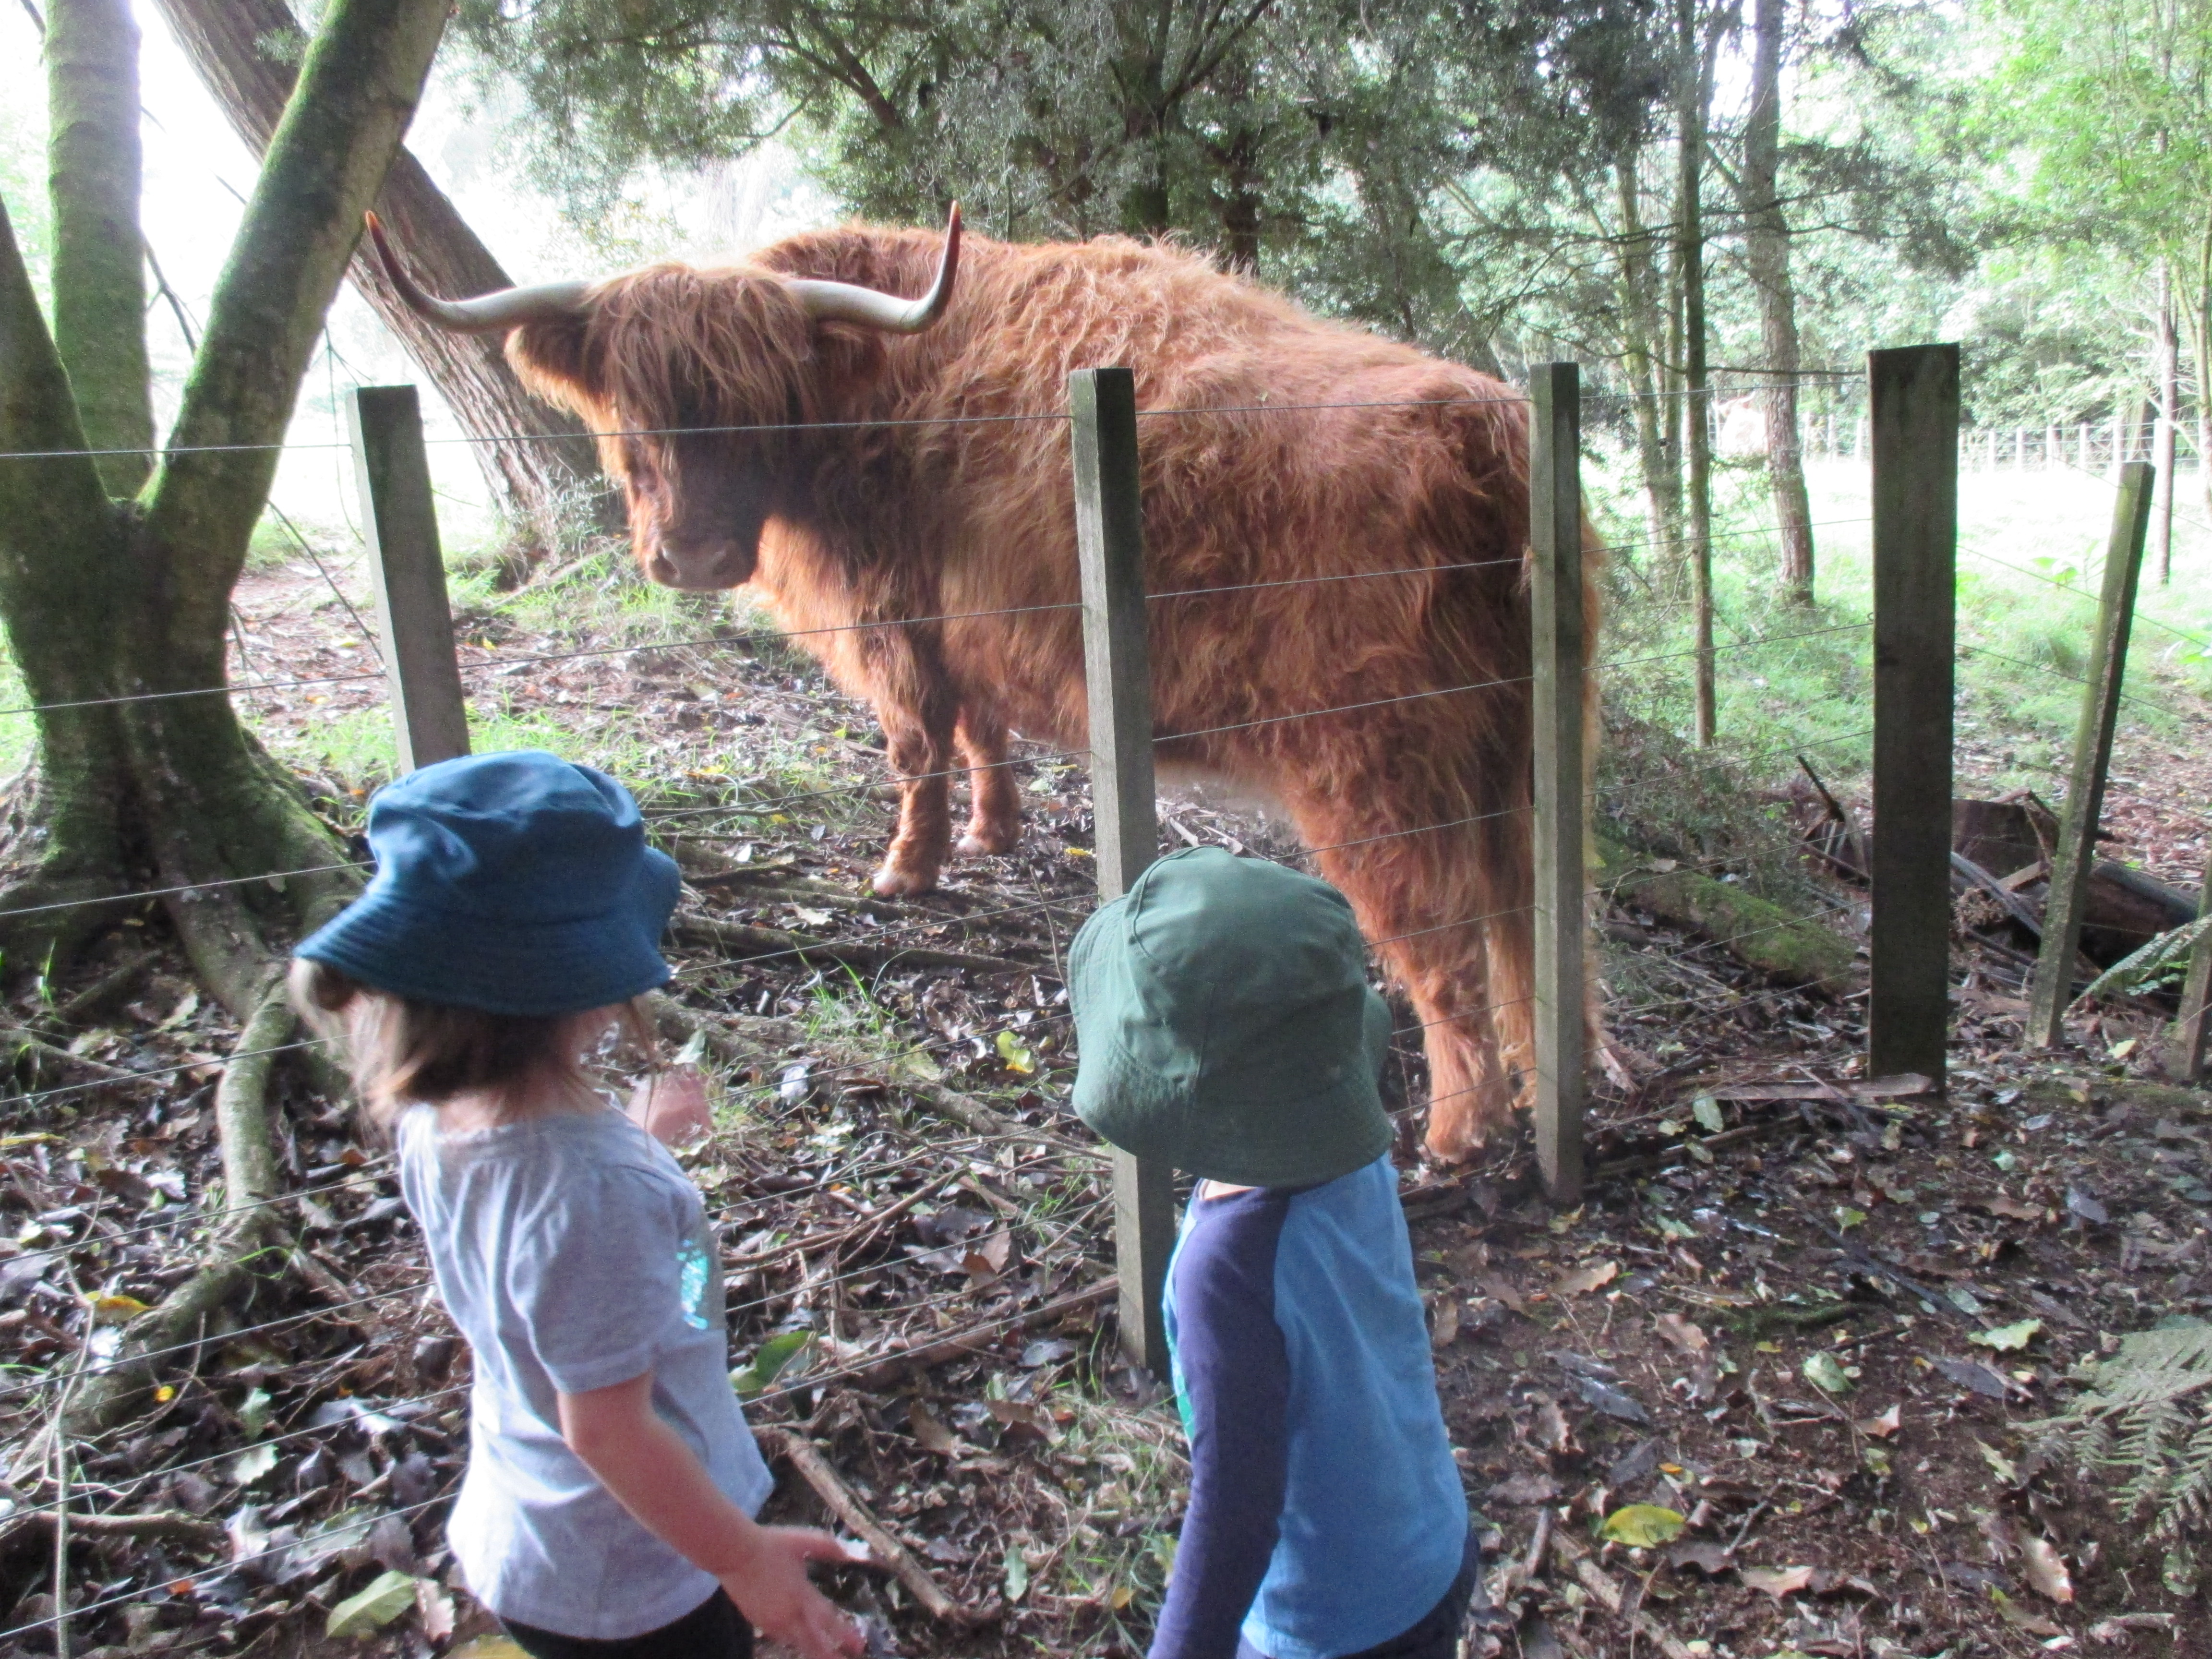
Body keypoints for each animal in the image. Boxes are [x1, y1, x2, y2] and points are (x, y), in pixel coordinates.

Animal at [364, 205, 1599, 1162]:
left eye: (757, 394)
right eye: (632, 400)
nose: (691, 558)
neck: (866, 388)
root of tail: (1488, 422)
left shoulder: (892, 615)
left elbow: (915, 743)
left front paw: (906, 871)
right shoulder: (973, 623)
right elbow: (982, 728)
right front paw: (997, 831)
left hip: (1373, 765)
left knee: (1438, 938)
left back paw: (1459, 1128)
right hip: (1522, 747)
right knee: (1532, 915)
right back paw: (1549, 1074)